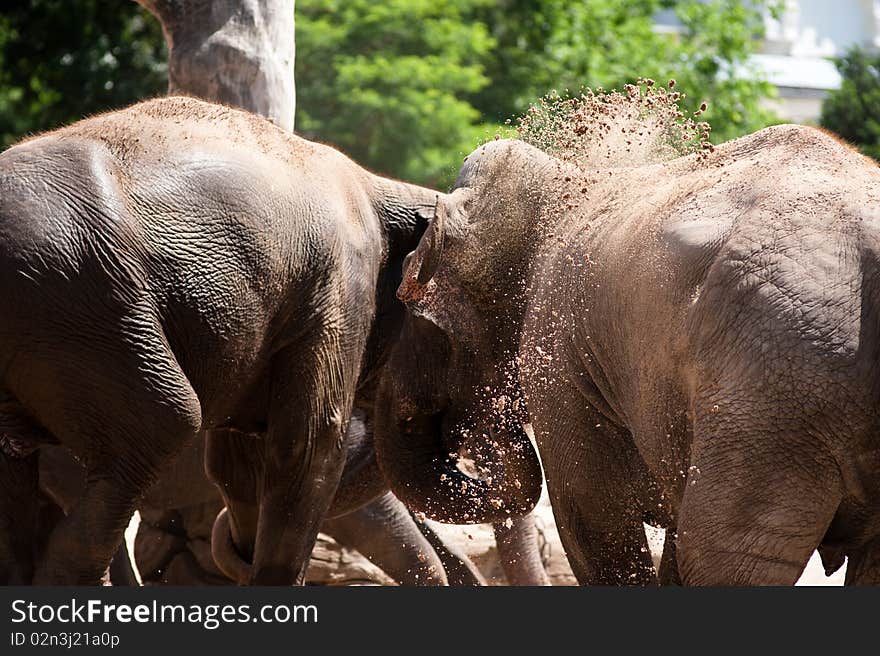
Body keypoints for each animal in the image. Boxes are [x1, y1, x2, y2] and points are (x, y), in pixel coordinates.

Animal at [0, 95, 440, 580]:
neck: (386, 188)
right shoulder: (341, 284)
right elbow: (310, 446)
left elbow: (239, 463)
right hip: (82, 303)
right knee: (164, 425)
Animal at [374, 125, 880, 588]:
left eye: (413, 310)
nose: (489, 424)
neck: (566, 180)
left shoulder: (556, 347)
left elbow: (592, 516)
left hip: (772, 393)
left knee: (722, 556)